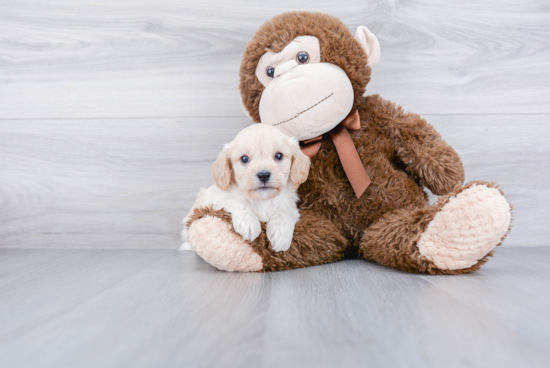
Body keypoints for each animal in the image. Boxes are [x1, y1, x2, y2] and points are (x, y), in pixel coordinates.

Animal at [181, 123, 310, 253]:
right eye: (244, 159)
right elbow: (236, 201)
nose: (264, 175)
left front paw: (281, 234)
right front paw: (249, 223)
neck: (262, 200)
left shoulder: (291, 207)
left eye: (279, 155)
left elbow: (283, 212)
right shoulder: (215, 198)